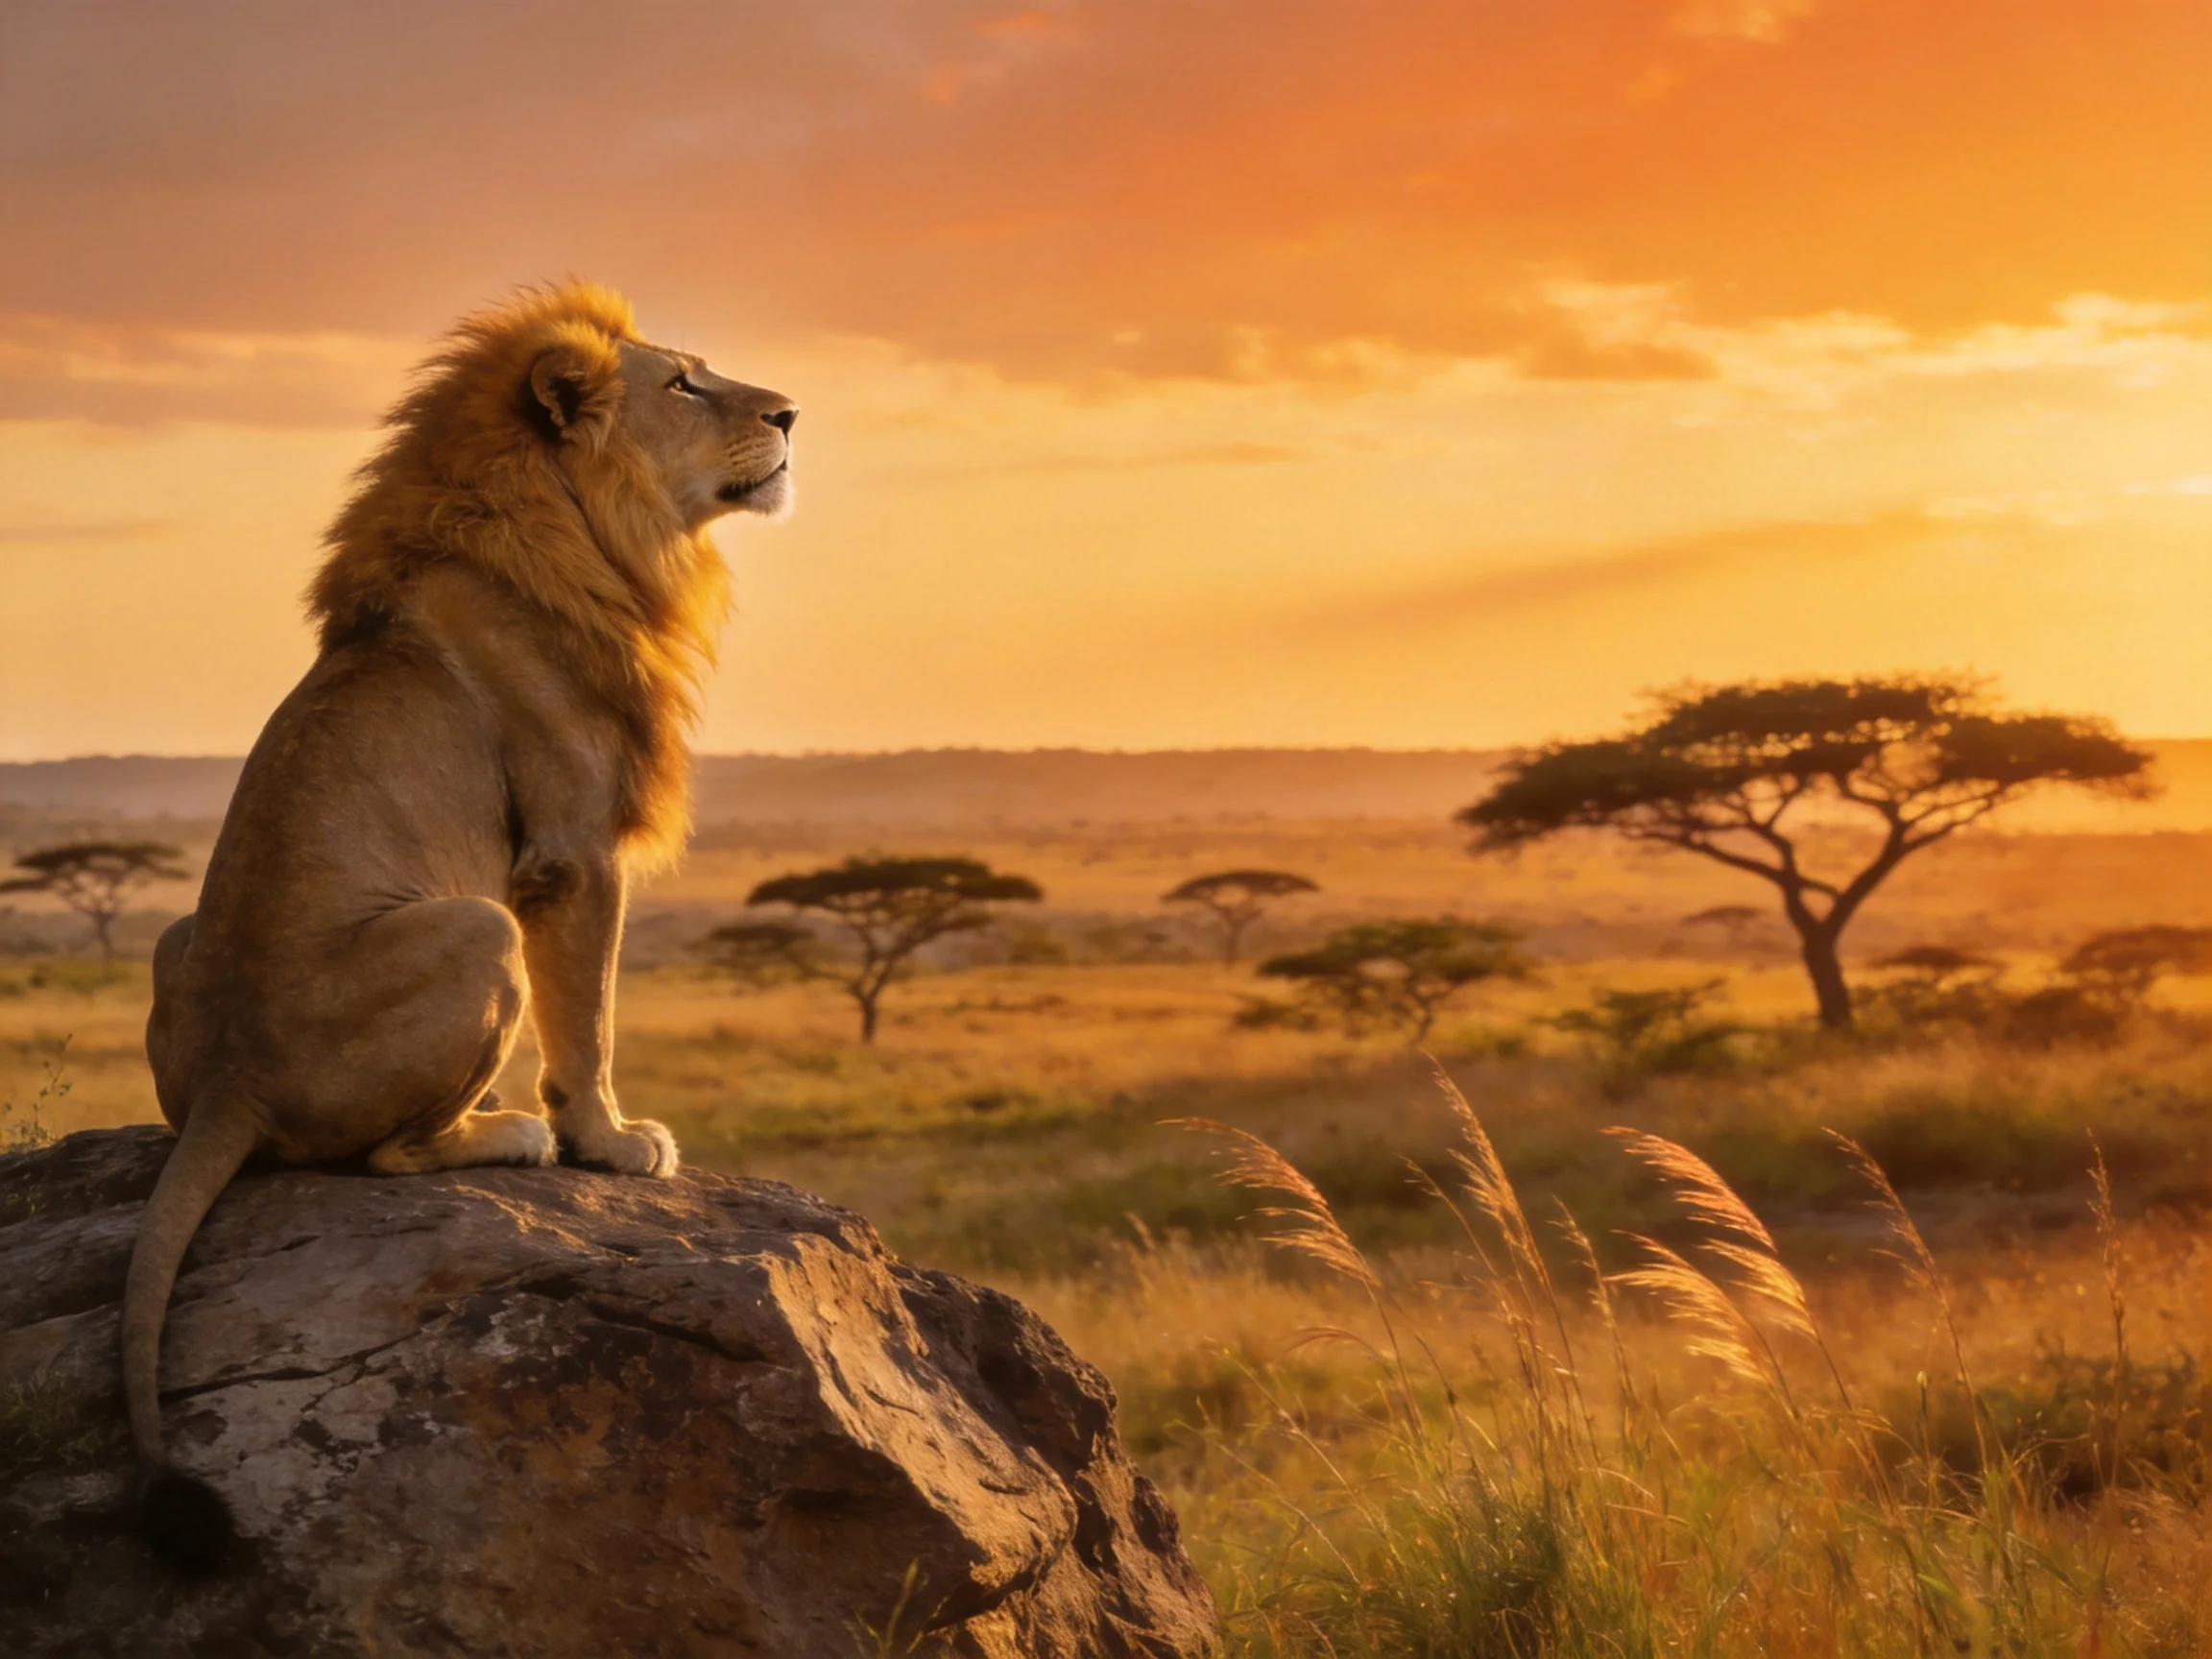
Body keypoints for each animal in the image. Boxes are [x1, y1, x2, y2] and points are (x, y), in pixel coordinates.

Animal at [125, 281, 795, 1566]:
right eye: (684, 383)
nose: (792, 412)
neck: (591, 532)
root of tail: (233, 1077)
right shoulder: (573, 852)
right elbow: (589, 1022)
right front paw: (611, 1142)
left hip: (172, 940)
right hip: (477, 927)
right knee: (383, 1157)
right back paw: (508, 1135)